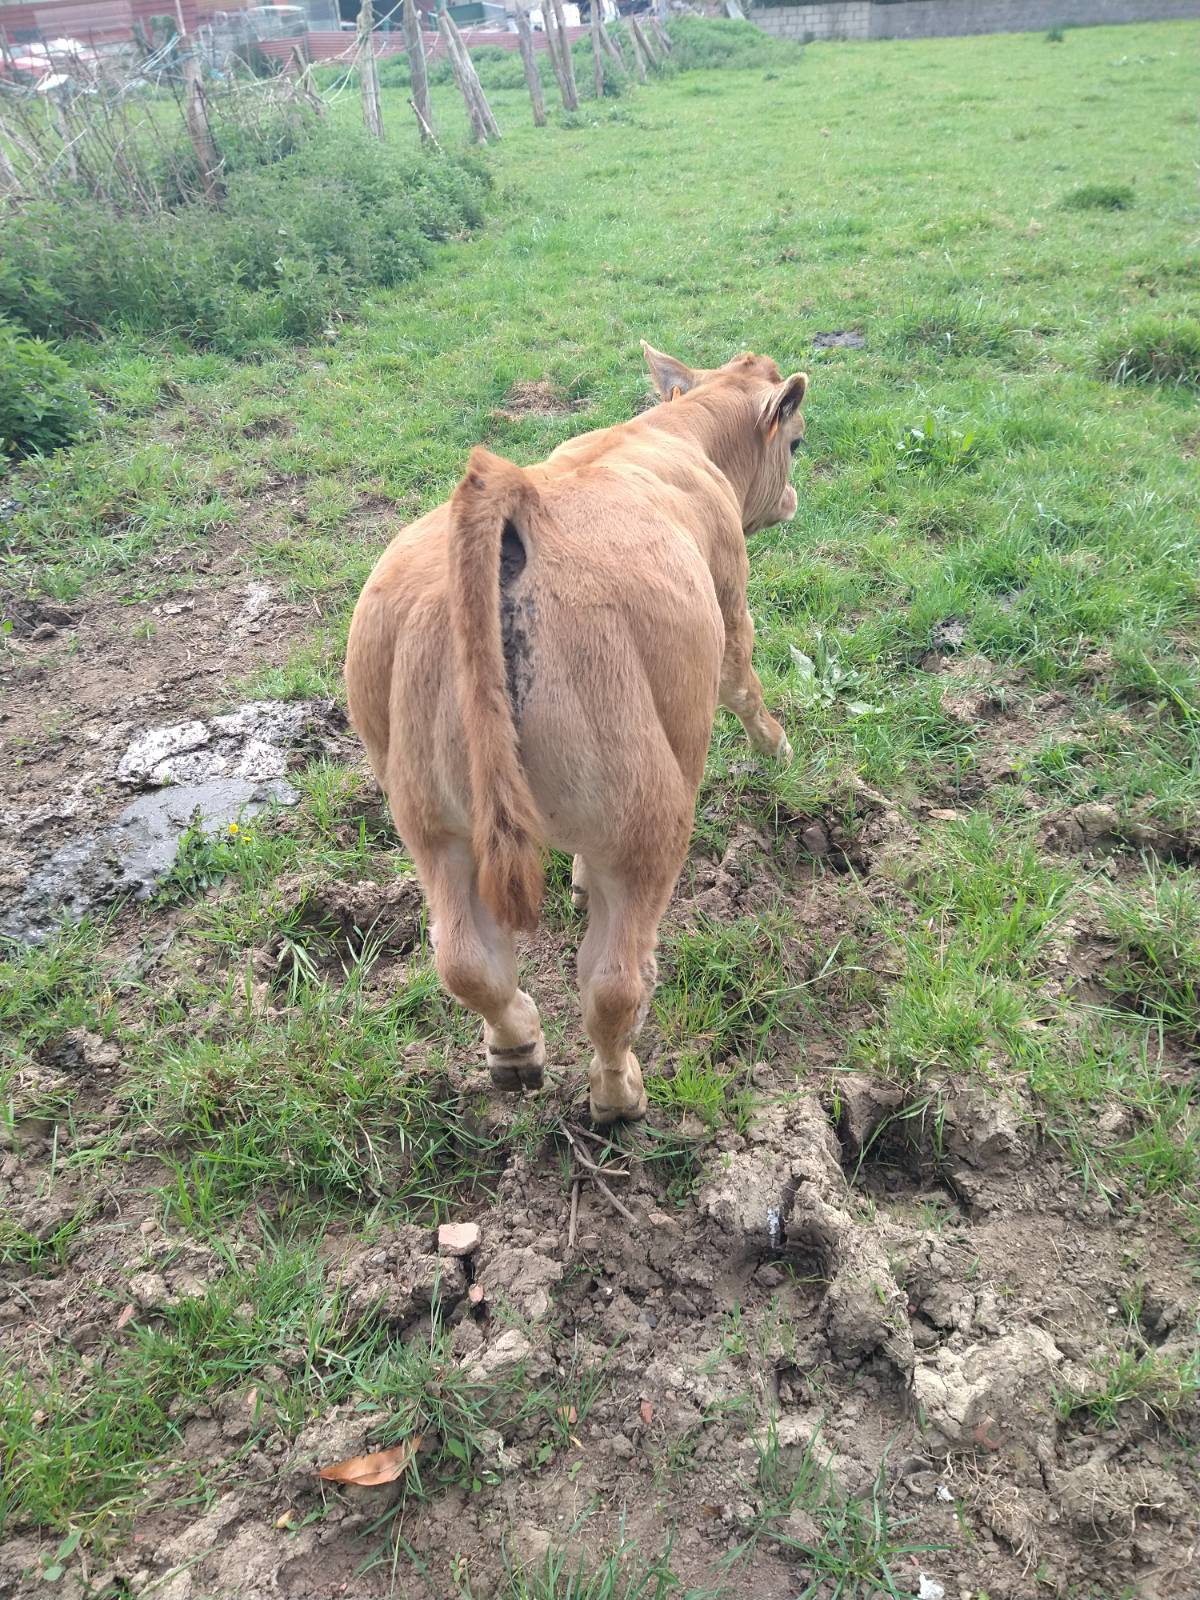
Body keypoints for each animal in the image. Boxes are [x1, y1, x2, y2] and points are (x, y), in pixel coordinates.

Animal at [345, 342, 807, 1124]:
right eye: (796, 442)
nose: (795, 501)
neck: (672, 435)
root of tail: (516, 495)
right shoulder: (729, 596)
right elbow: (744, 683)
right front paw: (776, 747)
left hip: (430, 819)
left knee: (467, 960)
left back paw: (515, 1050)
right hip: (648, 813)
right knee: (614, 983)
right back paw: (618, 1095)